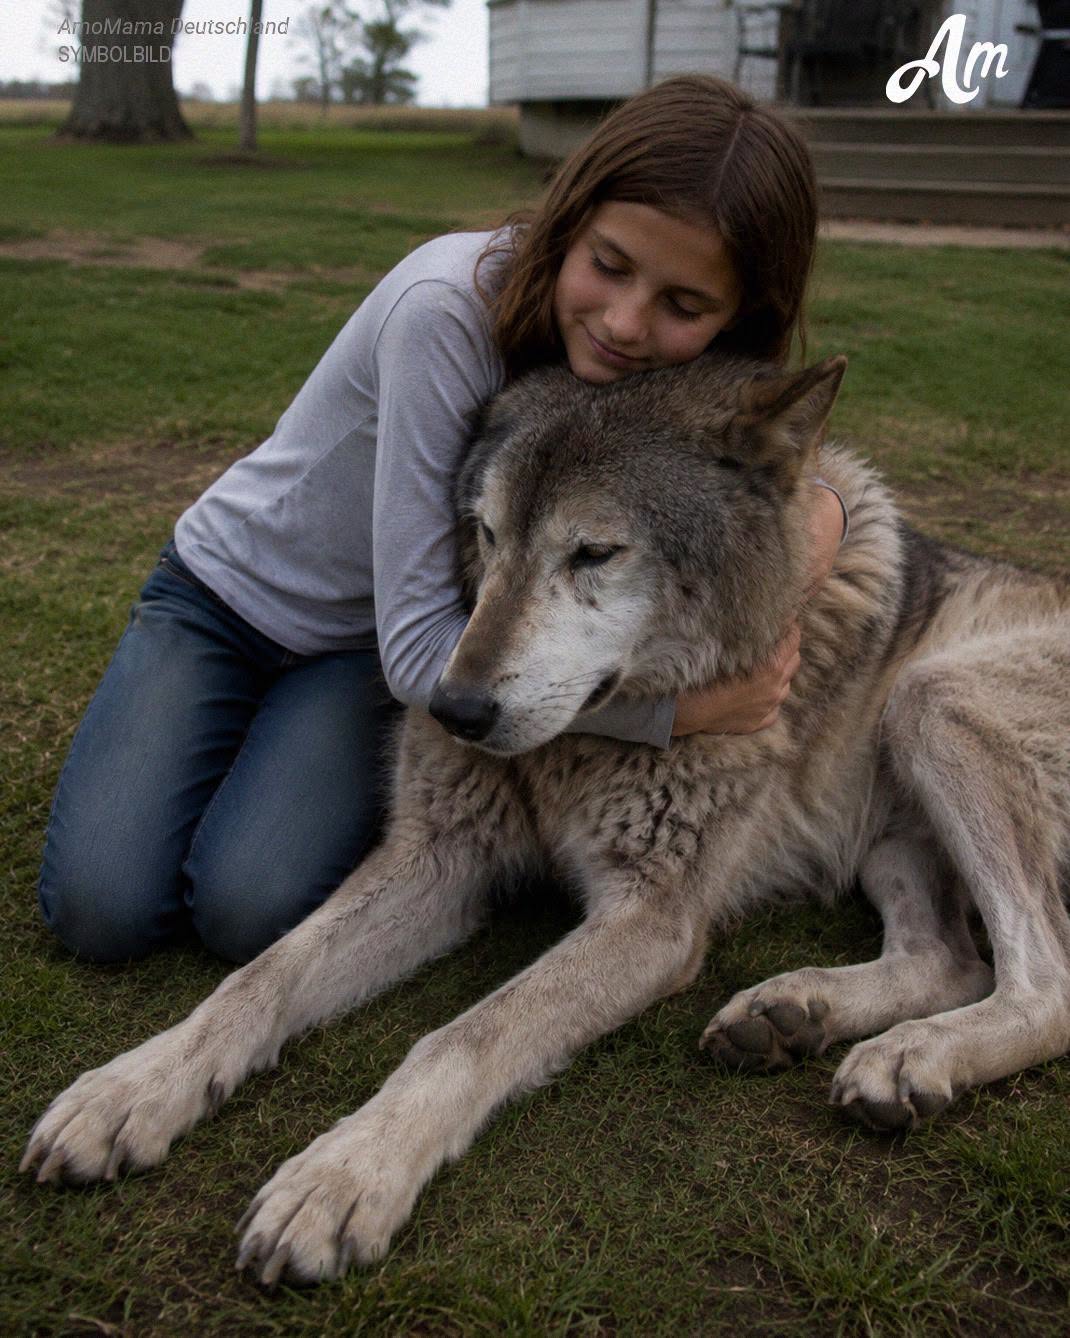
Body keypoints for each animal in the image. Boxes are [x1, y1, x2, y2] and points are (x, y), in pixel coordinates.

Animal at [22, 353, 1070, 1286]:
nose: (453, 709)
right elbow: (260, 976)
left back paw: (909, 1055)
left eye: (594, 552)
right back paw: (793, 1015)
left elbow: (466, 1035)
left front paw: (345, 1174)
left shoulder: (651, 921)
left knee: (1041, 982)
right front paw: (133, 1088)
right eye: (484, 535)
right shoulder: (438, 860)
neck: (571, 751)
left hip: (930, 705)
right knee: (948, 956)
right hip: (895, 818)